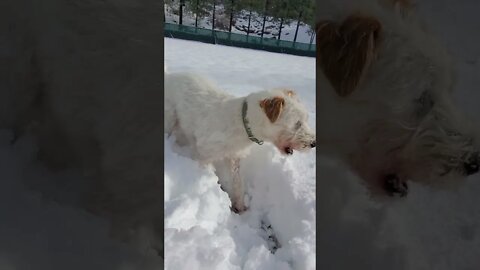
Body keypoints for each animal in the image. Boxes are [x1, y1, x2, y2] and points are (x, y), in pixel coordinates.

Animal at [163, 69, 316, 211]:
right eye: (297, 123)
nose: (314, 143)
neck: (242, 123)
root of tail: (169, 75)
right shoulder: (204, 154)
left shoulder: (234, 158)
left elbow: (237, 184)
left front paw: (240, 206)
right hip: (169, 120)